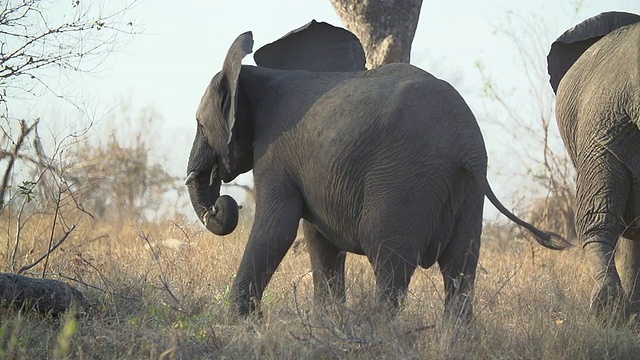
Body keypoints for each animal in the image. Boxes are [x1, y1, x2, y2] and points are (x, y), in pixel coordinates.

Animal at [186, 21, 568, 322]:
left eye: (200, 125)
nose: (220, 204)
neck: (253, 77)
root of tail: (467, 147)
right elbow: (319, 239)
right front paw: (326, 323)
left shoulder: (275, 153)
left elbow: (276, 229)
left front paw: (242, 323)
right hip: (467, 193)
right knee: (460, 268)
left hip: (404, 180)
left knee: (390, 263)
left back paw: (376, 330)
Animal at [544, 10, 640, 318]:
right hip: (606, 124)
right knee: (600, 215)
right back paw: (611, 309)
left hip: (603, 125)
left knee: (597, 216)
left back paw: (608, 309)